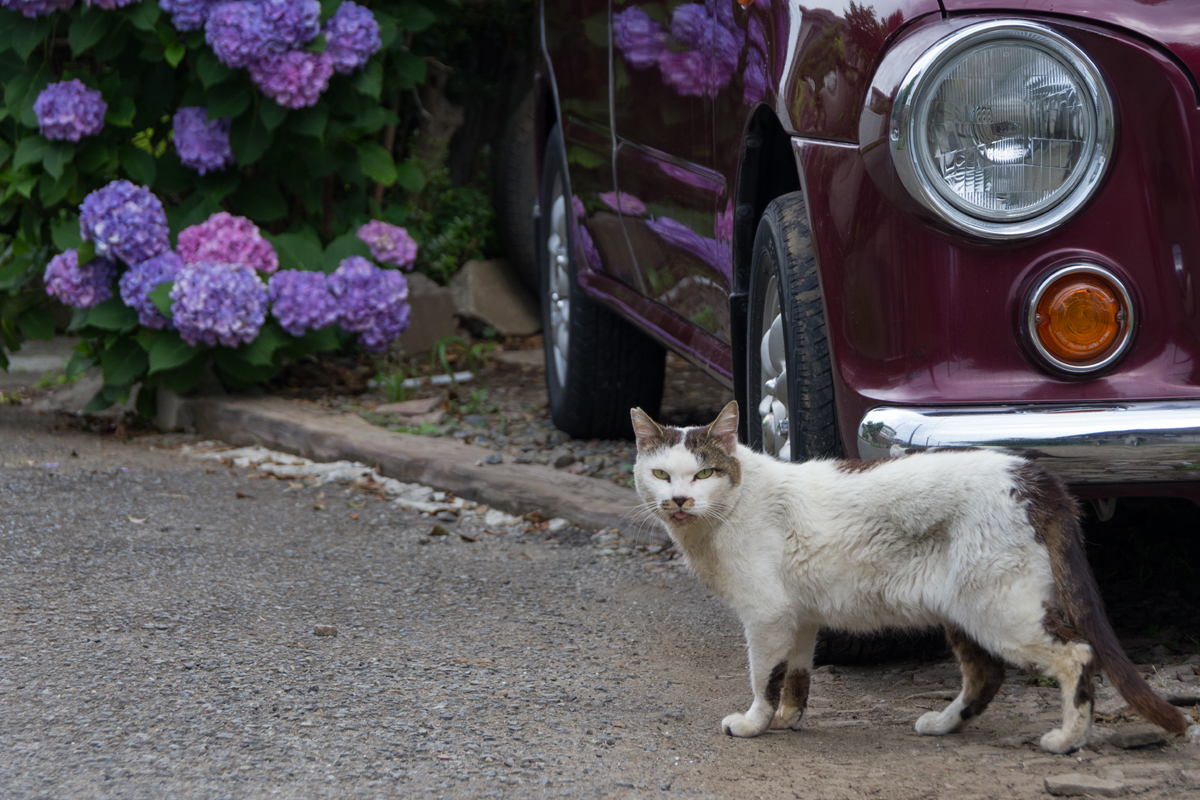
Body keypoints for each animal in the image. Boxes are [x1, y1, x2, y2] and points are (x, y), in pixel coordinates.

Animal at [633, 402, 1185, 753]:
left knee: (1077, 655)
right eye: (661, 474)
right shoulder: (799, 616)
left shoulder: (766, 615)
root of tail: (1034, 476)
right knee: (986, 674)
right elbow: (796, 675)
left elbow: (762, 677)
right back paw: (943, 724)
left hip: (999, 609)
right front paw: (788, 719)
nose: (679, 499)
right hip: (964, 609)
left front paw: (754, 723)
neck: (723, 514)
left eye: (703, 474)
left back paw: (1068, 740)